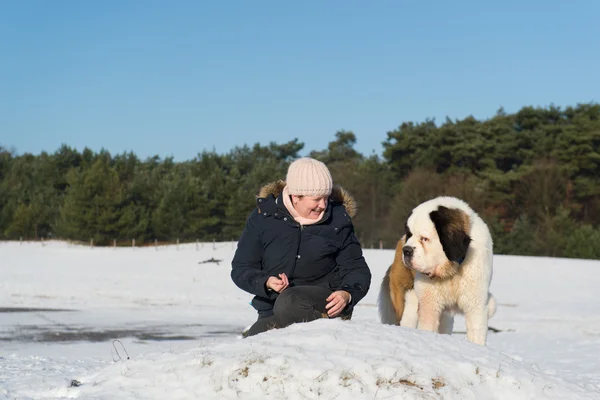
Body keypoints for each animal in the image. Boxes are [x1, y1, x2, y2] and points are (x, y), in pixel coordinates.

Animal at [380, 195, 496, 346]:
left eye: (424, 239)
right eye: (409, 234)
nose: (406, 250)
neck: (452, 269)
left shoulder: (475, 303)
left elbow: (476, 331)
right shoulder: (429, 302)